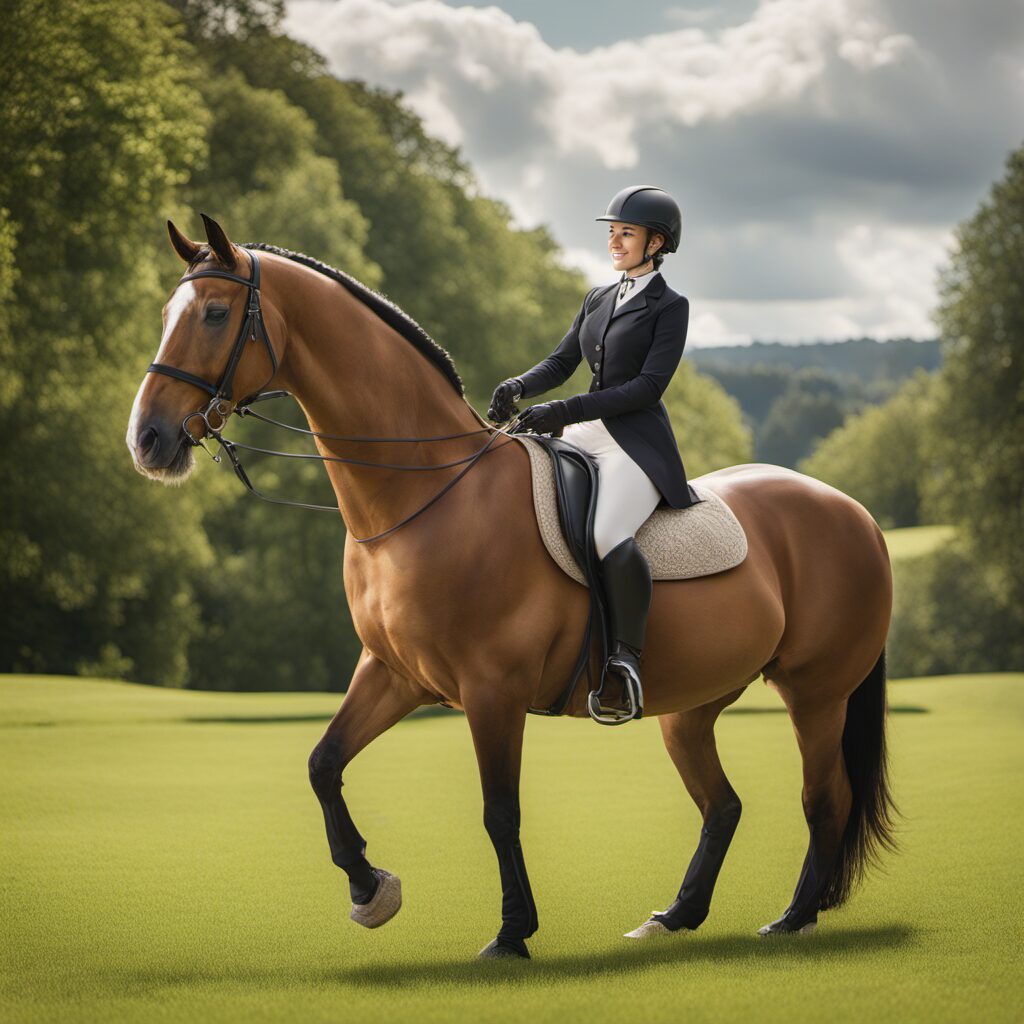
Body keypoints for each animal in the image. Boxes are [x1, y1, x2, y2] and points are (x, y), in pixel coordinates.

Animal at [127, 214, 898, 959]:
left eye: (216, 314)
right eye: (167, 311)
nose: (148, 441)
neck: (425, 497)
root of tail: (855, 511)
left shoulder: (490, 689)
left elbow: (500, 810)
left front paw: (511, 933)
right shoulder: (394, 674)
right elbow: (323, 764)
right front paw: (370, 890)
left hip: (816, 693)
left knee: (825, 799)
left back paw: (792, 921)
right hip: (693, 704)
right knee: (724, 804)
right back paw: (674, 918)